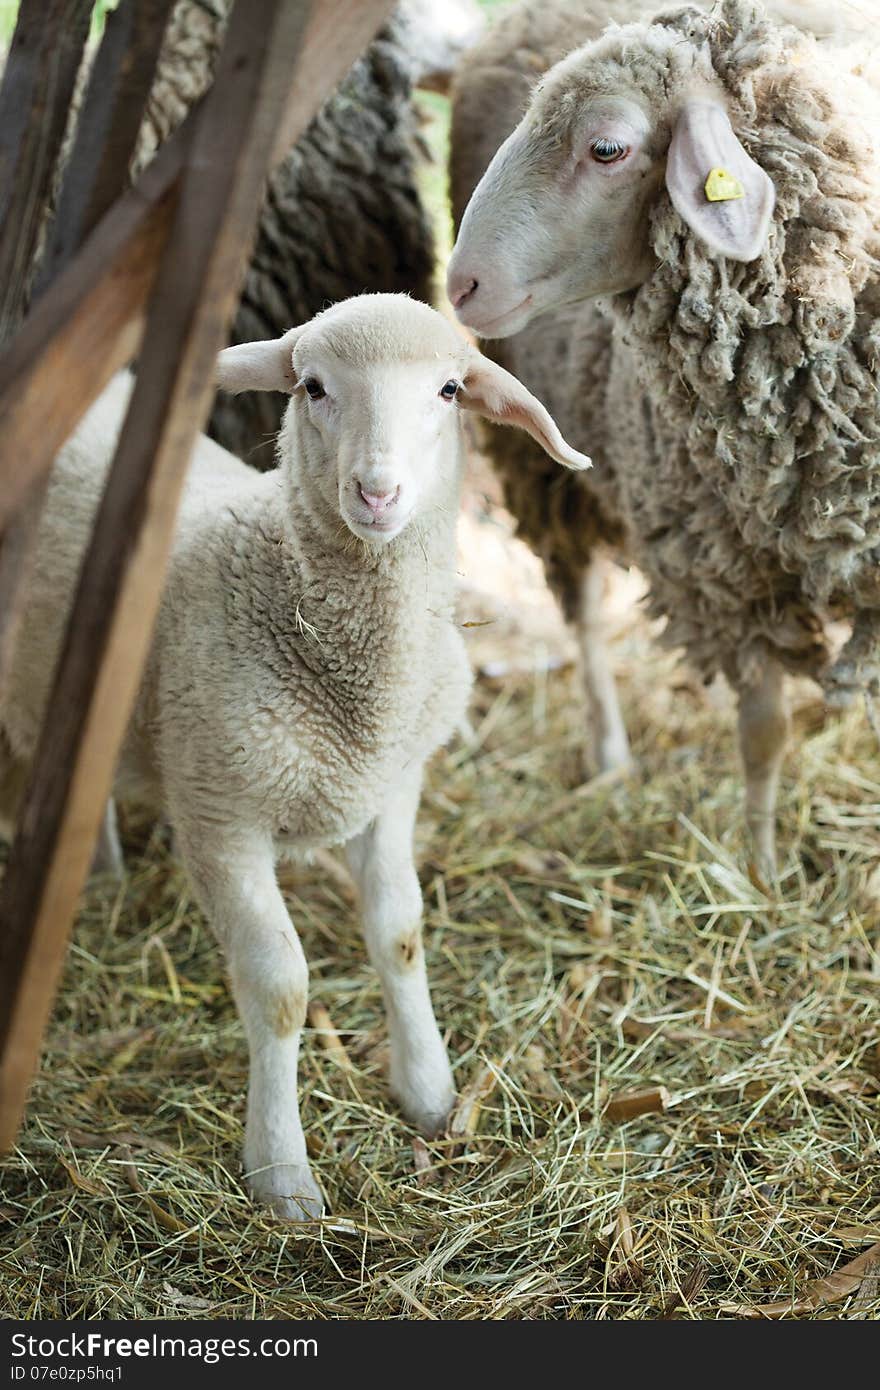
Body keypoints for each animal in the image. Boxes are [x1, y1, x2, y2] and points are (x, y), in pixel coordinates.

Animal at [3, 293, 589, 1217]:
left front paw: (430, 1092)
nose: (377, 492)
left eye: (451, 390)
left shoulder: (390, 789)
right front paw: (282, 1173)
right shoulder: (221, 816)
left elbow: (400, 933)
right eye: (312, 386)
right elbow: (280, 989)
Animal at [450, 2, 878, 878]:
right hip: (545, 465)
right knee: (581, 612)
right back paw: (611, 756)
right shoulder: (725, 580)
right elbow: (764, 733)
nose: (459, 284)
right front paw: (762, 874)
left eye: (607, 148)